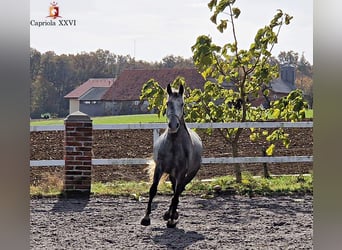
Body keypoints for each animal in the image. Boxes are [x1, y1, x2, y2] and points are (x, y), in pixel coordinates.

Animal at [141, 83, 203, 228]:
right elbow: (153, 190)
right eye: (168, 103)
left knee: (179, 190)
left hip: (189, 174)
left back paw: (172, 215)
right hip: (172, 174)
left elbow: (175, 195)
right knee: (175, 189)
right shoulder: (160, 168)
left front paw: (171, 220)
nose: (173, 125)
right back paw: (169, 213)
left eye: (182, 103)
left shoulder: (181, 172)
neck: (174, 145)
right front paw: (146, 218)